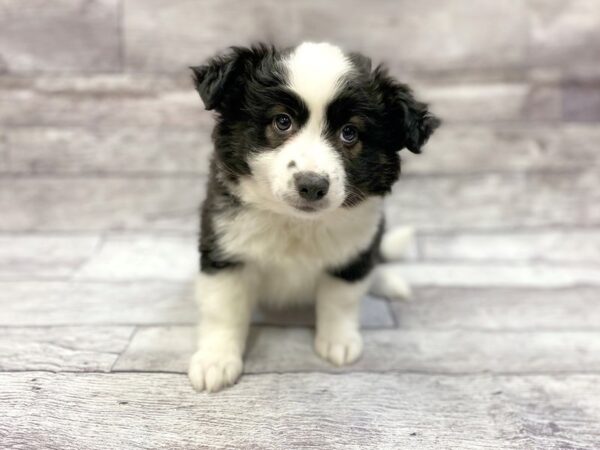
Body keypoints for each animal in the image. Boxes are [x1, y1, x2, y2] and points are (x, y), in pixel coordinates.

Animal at [190, 43, 438, 394]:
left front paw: (339, 342)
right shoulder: (226, 247)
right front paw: (216, 360)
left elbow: (341, 299)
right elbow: (223, 309)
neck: (297, 224)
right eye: (282, 121)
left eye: (350, 133)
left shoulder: (353, 249)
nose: (311, 185)